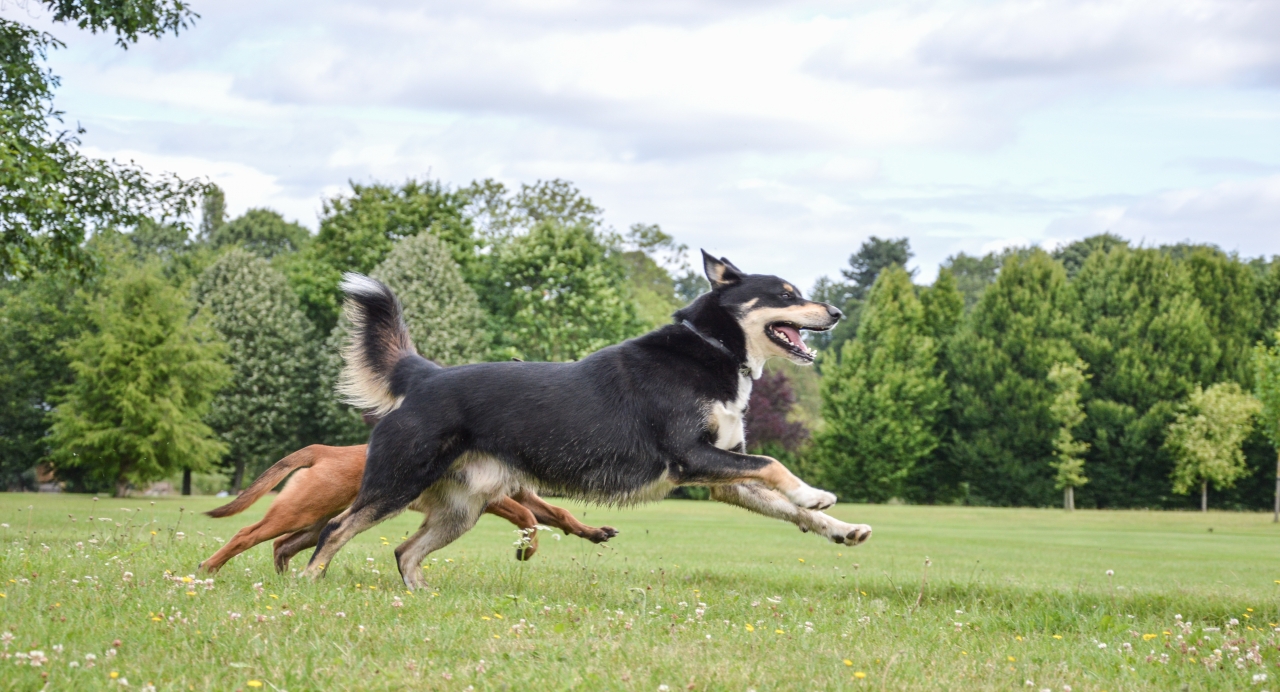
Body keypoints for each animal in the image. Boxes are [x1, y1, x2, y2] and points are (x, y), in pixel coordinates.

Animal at [199, 444, 617, 574]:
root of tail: (325, 450)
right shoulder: (497, 500)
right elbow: (529, 520)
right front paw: (527, 549)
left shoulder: (526, 495)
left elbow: (561, 515)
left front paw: (595, 533)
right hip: (299, 512)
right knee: (245, 534)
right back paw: (208, 569)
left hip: (319, 522)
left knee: (281, 545)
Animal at [304, 251, 872, 589]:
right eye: (785, 294)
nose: (838, 313)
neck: (713, 349)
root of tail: (424, 377)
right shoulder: (693, 457)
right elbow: (775, 464)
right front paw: (816, 493)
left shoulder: (721, 476)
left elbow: (789, 507)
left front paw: (842, 528)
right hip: (397, 482)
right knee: (335, 528)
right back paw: (307, 585)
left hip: (462, 507)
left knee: (405, 551)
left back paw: (420, 594)